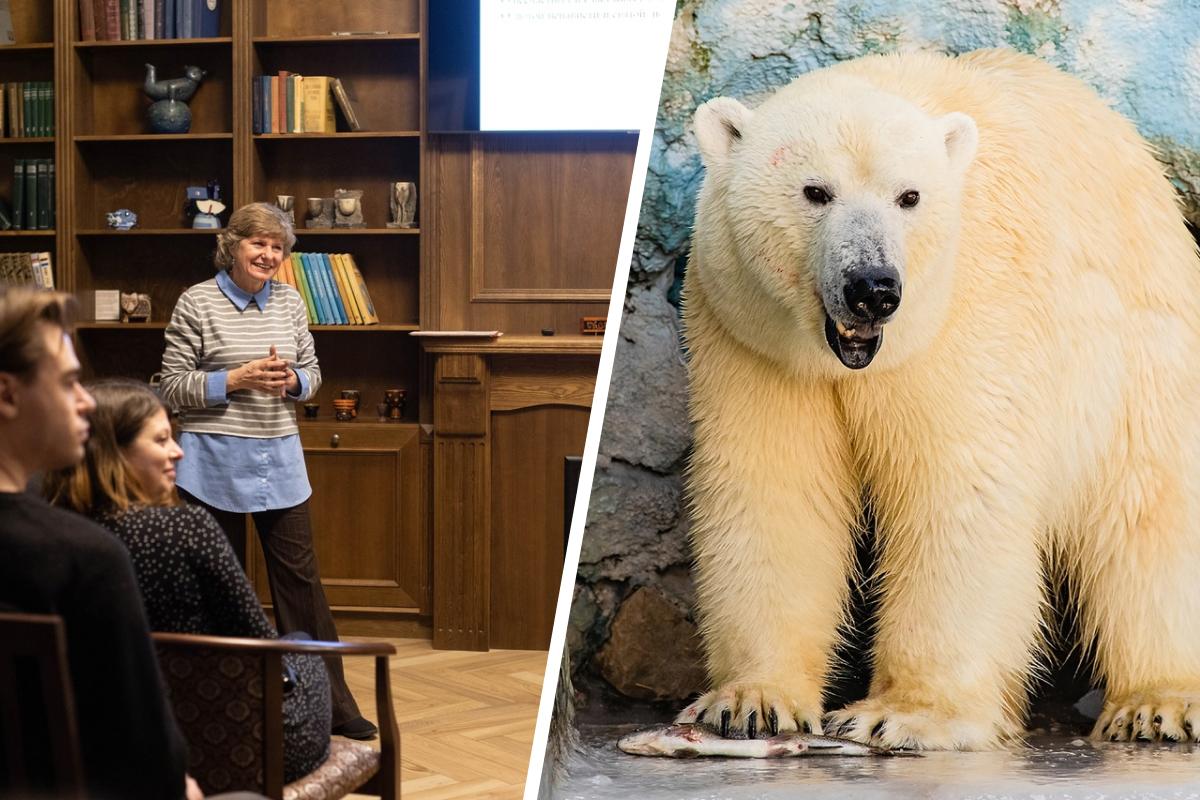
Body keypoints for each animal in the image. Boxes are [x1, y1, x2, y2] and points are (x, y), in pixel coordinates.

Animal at [681, 50, 1200, 753]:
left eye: (910, 196)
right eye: (816, 191)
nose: (872, 288)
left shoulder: (964, 319)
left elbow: (956, 488)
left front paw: (902, 714)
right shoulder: (752, 339)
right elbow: (772, 488)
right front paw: (751, 701)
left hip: (1138, 345)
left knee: (1149, 503)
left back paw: (1158, 703)